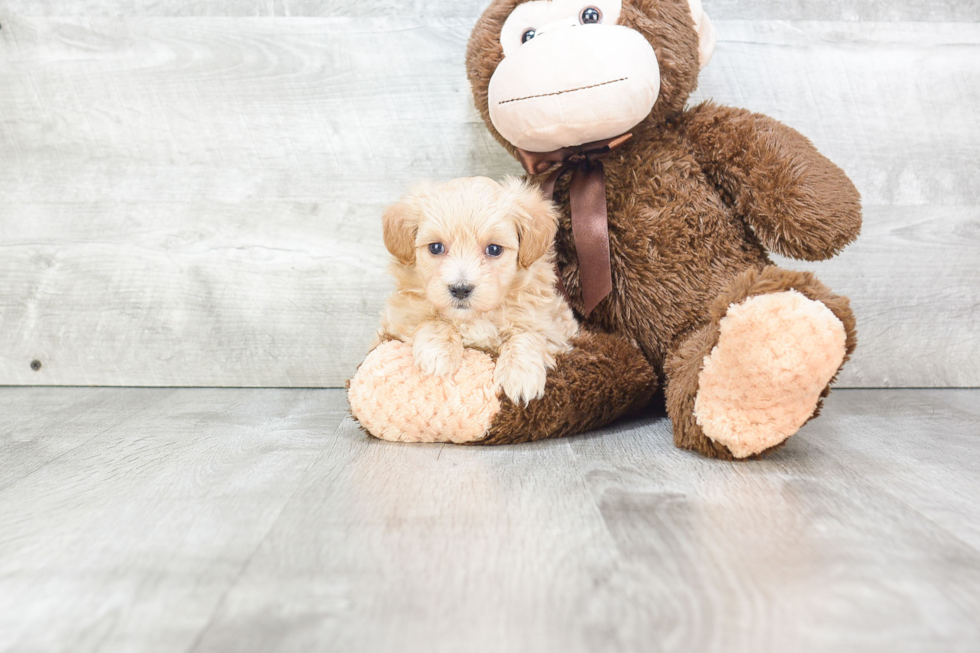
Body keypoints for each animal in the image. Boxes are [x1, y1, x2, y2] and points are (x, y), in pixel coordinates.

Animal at [374, 176, 576, 404]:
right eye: (435, 247)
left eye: (494, 249)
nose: (460, 289)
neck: (475, 317)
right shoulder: (396, 321)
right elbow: (431, 320)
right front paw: (438, 352)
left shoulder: (554, 328)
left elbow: (528, 335)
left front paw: (521, 375)